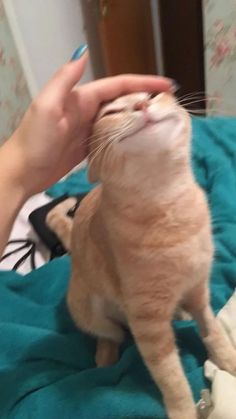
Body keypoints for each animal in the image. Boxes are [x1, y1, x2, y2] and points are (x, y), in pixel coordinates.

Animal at [46, 93, 236, 419]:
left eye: (151, 94)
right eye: (111, 112)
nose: (142, 106)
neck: (168, 201)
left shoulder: (199, 288)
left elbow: (212, 332)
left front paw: (228, 360)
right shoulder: (147, 323)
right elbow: (171, 377)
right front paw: (184, 411)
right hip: (85, 306)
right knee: (110, 332)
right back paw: (106, 354)